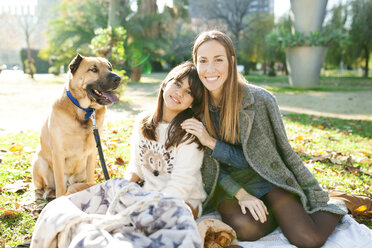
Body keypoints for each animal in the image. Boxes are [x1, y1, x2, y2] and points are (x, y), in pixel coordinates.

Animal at [32, 53, 120, 200]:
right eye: (93, 69)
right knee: (43, 187)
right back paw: (48, 193)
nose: (118, 78)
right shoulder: (58, 153)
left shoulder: (92, 152)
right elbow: (60, 187)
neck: (84, 110)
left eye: (110, 68)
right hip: (40, 162)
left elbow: (90, 178)